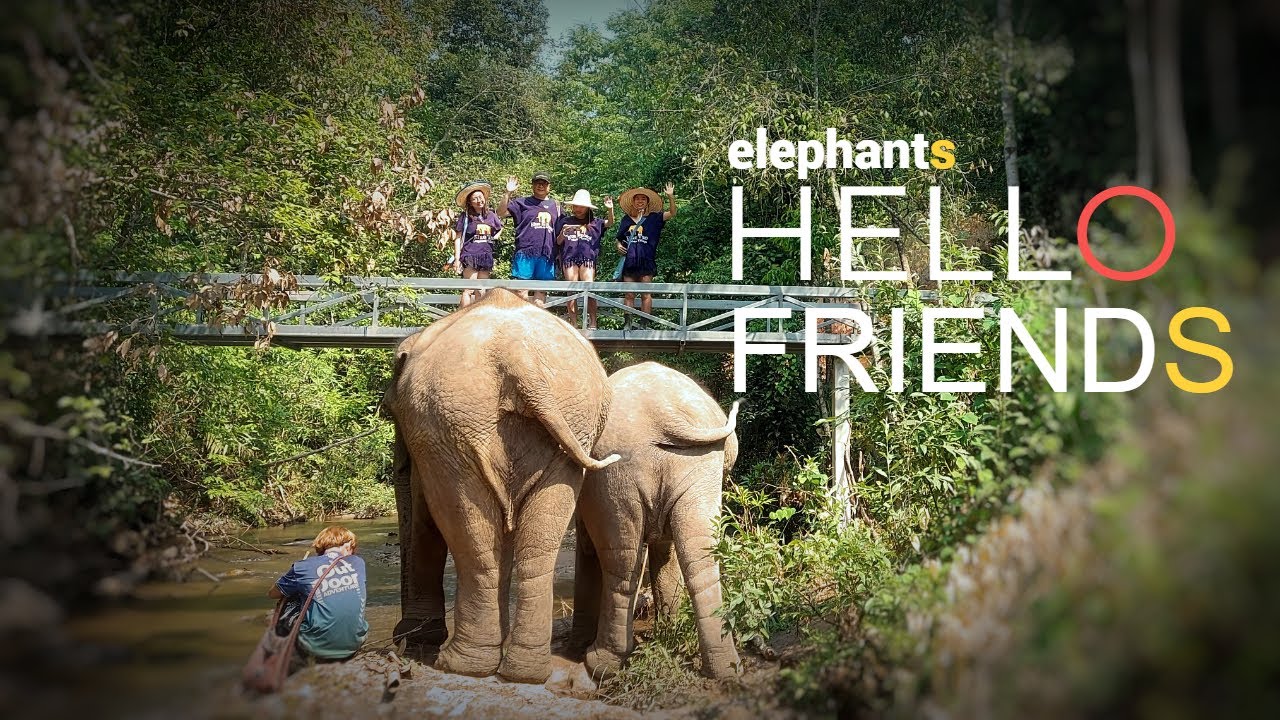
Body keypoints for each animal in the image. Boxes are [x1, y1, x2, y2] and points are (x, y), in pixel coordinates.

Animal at [382, 288, 620, 684]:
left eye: (388, 412)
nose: (400, 637)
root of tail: (517, 356)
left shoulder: (423, 440)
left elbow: (423, 515)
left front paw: (418, 639)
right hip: (570, 422)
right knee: (538, 539)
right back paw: (523, 672)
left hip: (447, 428)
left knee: (465, 530)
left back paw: (459, 665)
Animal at [571, 362, 743, 680]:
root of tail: (665, 413)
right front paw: (668, 632)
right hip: (696, 463)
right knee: (698, 555)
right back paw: (725, 669)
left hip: (616, 473)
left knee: (621, 559)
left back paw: (599, 663)